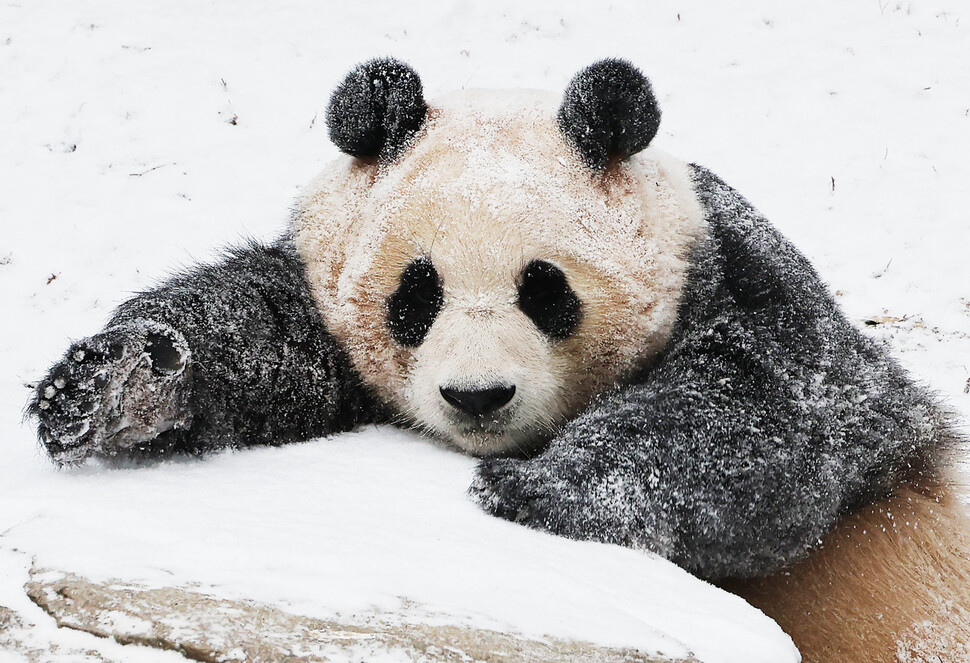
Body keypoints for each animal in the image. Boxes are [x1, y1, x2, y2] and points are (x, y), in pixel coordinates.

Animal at [30, 59, 968, 660]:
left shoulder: (742, 276)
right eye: (416, 294)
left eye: (545, 288)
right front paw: (111, 383)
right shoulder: (332, 316)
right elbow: (270, 337)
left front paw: (541, 489)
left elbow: (781, 410)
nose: (477, 396)